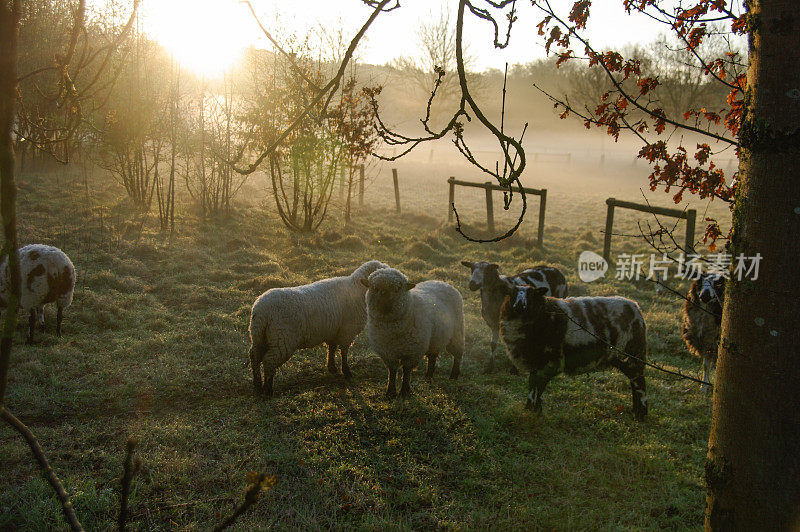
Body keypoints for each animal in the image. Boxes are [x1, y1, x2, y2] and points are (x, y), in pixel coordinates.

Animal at [248, 260, 390, 396]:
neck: (357, 289)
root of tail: (261, 310)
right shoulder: (347, 331)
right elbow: (344, 352)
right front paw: (347, 372)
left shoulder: (334, 330)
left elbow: (332, 348)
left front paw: (332, 368)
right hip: (282, 339)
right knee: (269, 361)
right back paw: (267, 390)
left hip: (260, 337)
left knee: (254, 357)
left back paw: (257, 385)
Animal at [360, 268, 466, 396]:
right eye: (375, 288)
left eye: (397, 288)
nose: (383, 303)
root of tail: (442, 282)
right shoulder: (387, 352)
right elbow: (392, 371)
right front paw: (390, 392)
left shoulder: (413, 351)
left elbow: (406, 371)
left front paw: (405, 391)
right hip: (435, 339)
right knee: (432, 357)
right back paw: (428, 377)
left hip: (457, 332)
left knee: (457, 354)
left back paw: (453, 376)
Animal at [500, 284, 648, 422]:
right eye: (512, 292)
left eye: (531, 294)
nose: (519, 305)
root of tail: (635, 307)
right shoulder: (534, 361)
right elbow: (532, 384)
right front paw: (529, 408)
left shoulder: (551, 361)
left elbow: (540, 386)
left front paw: (537, 410)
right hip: (620, 358)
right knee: (634, 380)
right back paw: (636, 411)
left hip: (632, 354)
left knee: (639, 382)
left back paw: (641, 413)